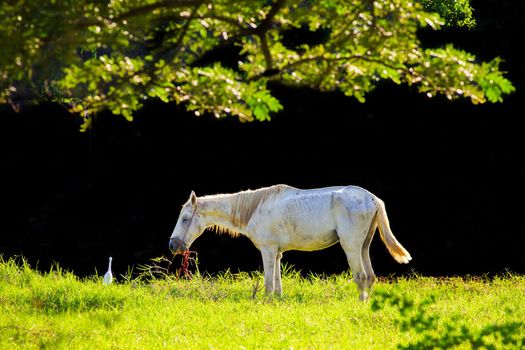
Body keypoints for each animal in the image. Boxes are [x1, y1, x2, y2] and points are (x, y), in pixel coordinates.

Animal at [168, 185, 410, 300]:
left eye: (185, 219)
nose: (173, 246)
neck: (254, 208)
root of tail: (373, 199)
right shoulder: (276, 253)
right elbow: (277, 283)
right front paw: (277, 301)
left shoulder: (267, 251)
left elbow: (268, 283)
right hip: (364, 246)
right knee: (370, 277)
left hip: (351, 246)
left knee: (361, 277)